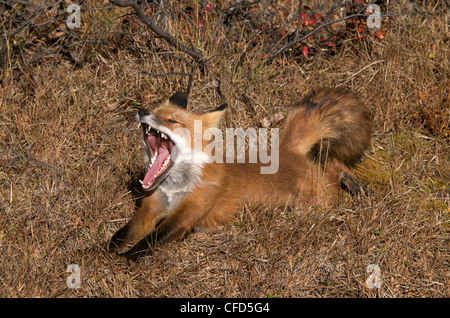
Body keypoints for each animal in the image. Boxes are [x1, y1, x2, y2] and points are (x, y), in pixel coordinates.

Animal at [107, 87, 370, 260]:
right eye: (154, 110)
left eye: (172, 121)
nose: (142, 111)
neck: (175, 187)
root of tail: (286, 149)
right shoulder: (152, 207)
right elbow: (122, 235)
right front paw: (103, 251)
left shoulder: (186, 215)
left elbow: (149, 242)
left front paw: (122, 260)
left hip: (321, 199)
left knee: (334, 170)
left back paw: (357, 188)